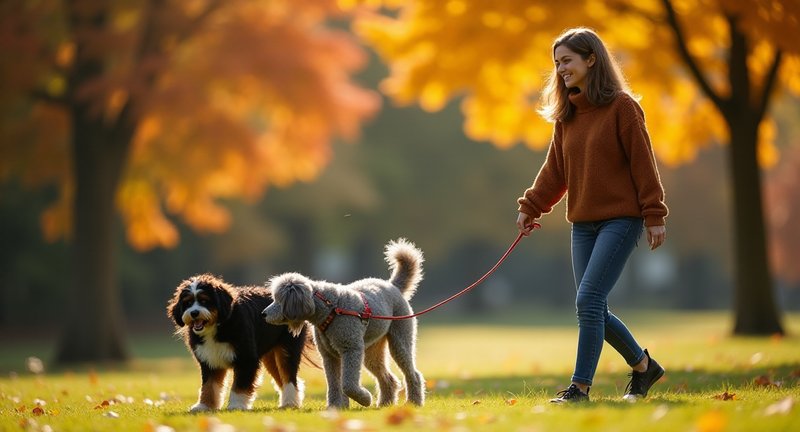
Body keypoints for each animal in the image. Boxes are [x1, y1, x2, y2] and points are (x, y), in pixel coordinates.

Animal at [166, 274, 310, 412]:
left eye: (204, 301)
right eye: (188, 302)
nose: (194, 313)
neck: (219, 326)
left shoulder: (246, 360)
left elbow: (239, 385)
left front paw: (237, 405)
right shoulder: (209, 361)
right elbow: (208, 386)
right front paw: (204, 406)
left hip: (287, 350)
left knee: (288, 377)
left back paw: (290, 403)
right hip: (270, 357)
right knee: (285, 379)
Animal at [260, 238, 424, 410]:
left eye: (279, 300)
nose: (263, 314)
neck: (330, 308)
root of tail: (393, 286)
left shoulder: (351, 349)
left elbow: (347, 384)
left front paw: (365, 399)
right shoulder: (329, 356)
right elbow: (334, 384)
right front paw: (335, 407)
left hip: (400, 341)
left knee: (413, 374)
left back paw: (414, 402)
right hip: (372, 351)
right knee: (389, 378)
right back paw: (385, 404)